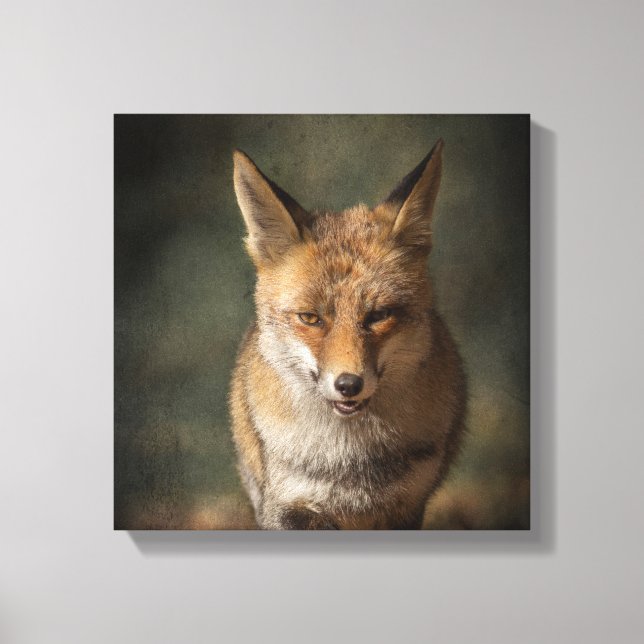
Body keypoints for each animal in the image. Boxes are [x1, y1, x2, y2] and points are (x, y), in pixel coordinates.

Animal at [229, 140, 466, 529]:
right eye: (310, 318)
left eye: (378, 316)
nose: (349, 385)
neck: (348, 464)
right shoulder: (288, 506)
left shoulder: (407, 507)